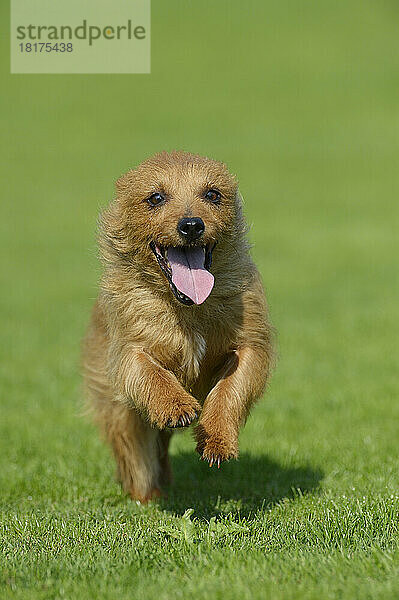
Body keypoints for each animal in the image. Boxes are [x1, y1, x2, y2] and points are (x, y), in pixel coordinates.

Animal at [82, 150, 274, 502]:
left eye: (212, 194)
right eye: (156, 198)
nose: (191, 225)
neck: (188, 309)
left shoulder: (250, 345)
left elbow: (231, 388)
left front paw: (217, 439)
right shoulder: (127, 349)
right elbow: (149, 371)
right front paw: (176, 404)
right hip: (118, 411)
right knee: (136, 454)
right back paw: (147, 495)